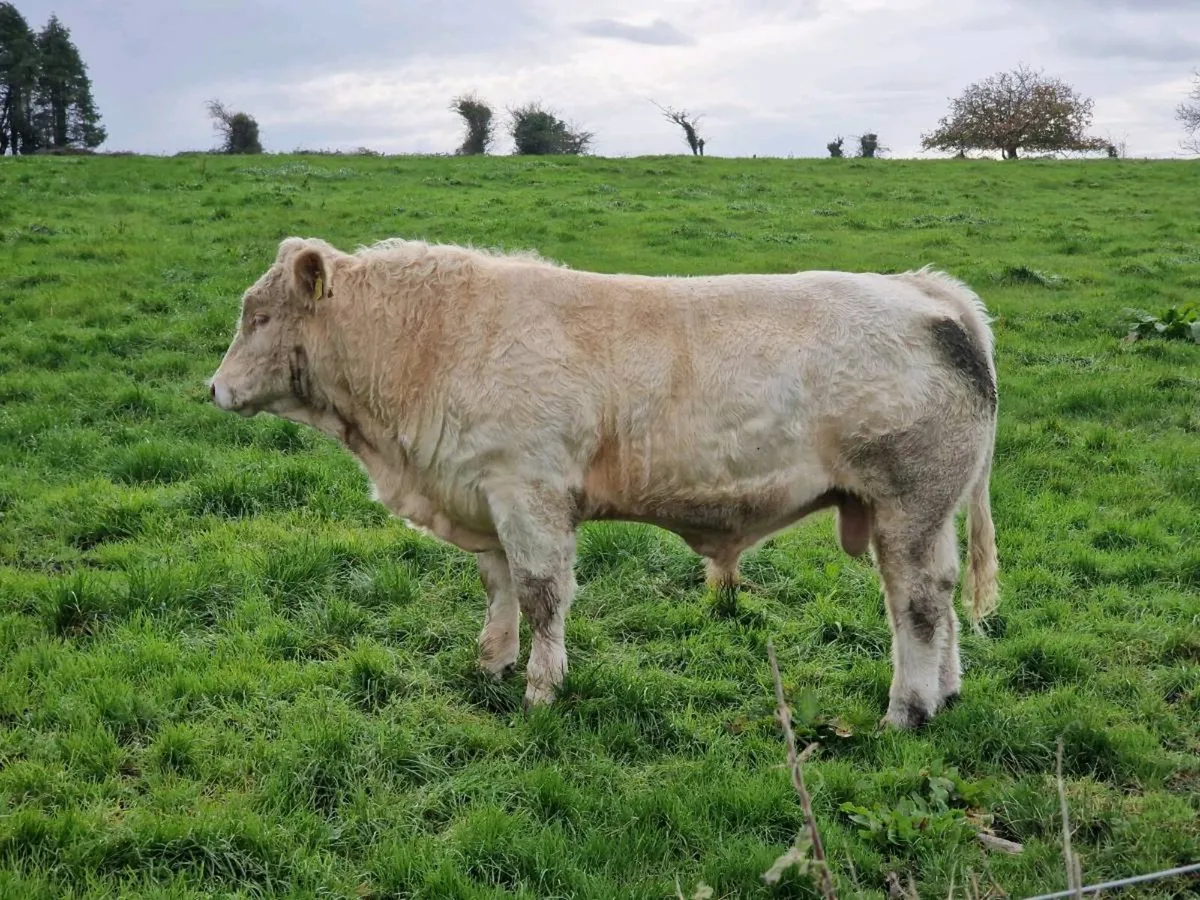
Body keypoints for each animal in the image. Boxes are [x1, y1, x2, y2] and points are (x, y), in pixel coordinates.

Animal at [208, 235, 1000, 729]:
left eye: (261, 316)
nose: (213, 388)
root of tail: (922, 290)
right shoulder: (485, 495)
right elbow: (499, 586)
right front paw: (493, 663)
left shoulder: (529, 492)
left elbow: (541, 593)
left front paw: (540, 689)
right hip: (924, 513)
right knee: (940, 595)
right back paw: (946, 692)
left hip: (909, 503)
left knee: (915, 603)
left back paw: (906, 710)